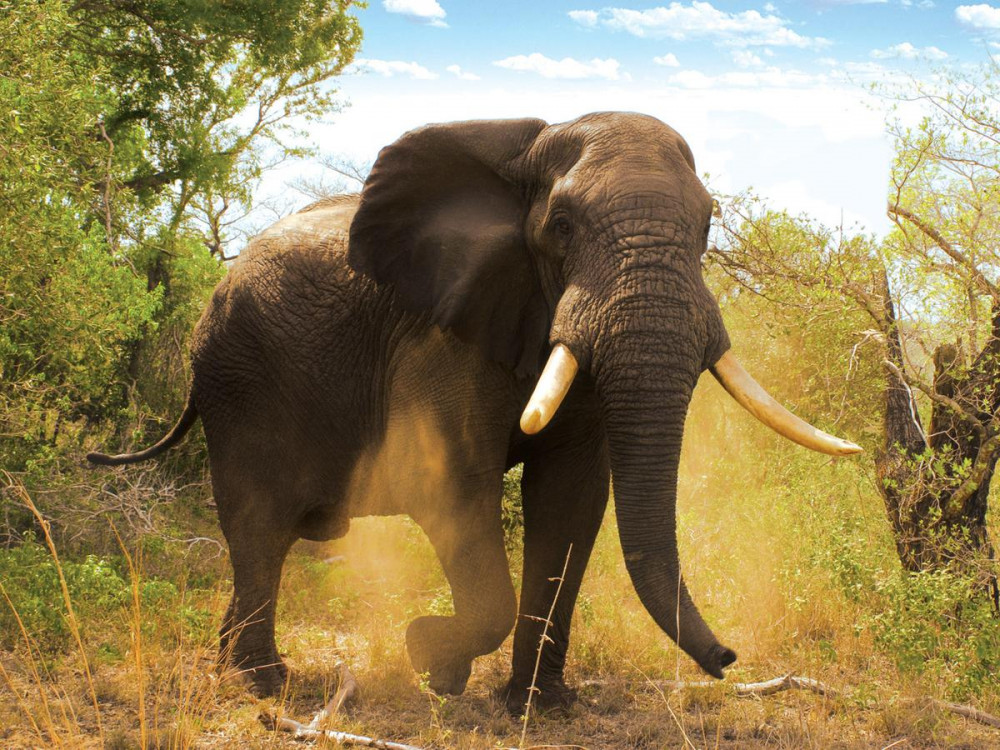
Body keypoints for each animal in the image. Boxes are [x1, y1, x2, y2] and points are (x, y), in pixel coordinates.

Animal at [89, 112, 861, 712]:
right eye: (562, 225)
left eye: (706, 226)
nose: (728, 658)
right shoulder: (440, 339)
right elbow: (454, 484)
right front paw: (431, 662)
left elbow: (571, 499)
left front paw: (539, 707)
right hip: (238, 378)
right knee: (260, 527)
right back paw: (262, 684)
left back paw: (242, 670)